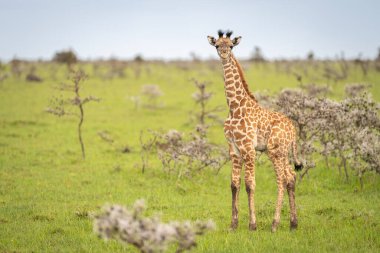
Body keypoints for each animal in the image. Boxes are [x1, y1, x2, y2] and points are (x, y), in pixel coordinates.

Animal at [208, 30, 302, 232]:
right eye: (217, 45)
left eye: (231, 46)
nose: (224, 54)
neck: (234, 107)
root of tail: (293, 130)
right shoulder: (234, 149)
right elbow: (234, 184)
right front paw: (233, 224)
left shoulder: (248, 148)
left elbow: (250, 184)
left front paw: (252, 224)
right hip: (282, 152)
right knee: (291, 177)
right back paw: (293, 223)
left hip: (275, 152)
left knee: (282, 179)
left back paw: (275, 224)